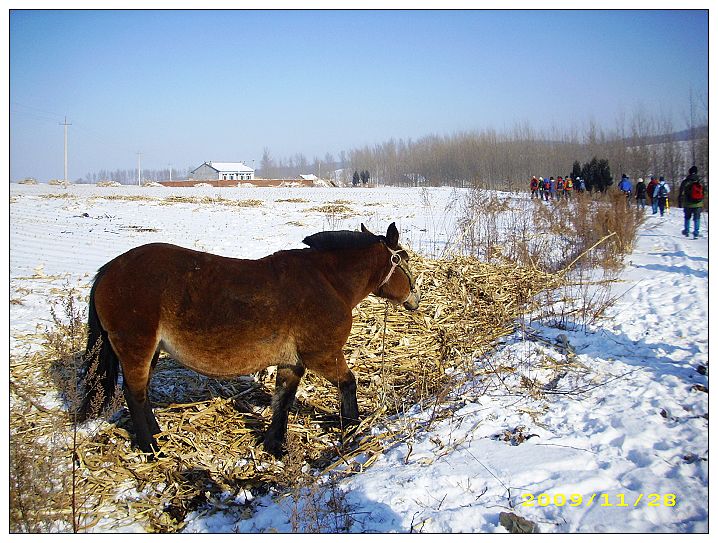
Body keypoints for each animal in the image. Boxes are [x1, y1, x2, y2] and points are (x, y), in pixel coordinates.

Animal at [78, 222, 420, 458]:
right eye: (403, 260)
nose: (416, 298)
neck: (328, 282)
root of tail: (110, 269)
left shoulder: (292, 362)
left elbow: (283, 400)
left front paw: (275, 445)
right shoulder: (322, 355)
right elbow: (348, 384)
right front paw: (351, 426)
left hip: (147, 352)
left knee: (140, 394)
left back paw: (156, 435)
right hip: (136, 349)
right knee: (135, 396)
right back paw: (151, 448)